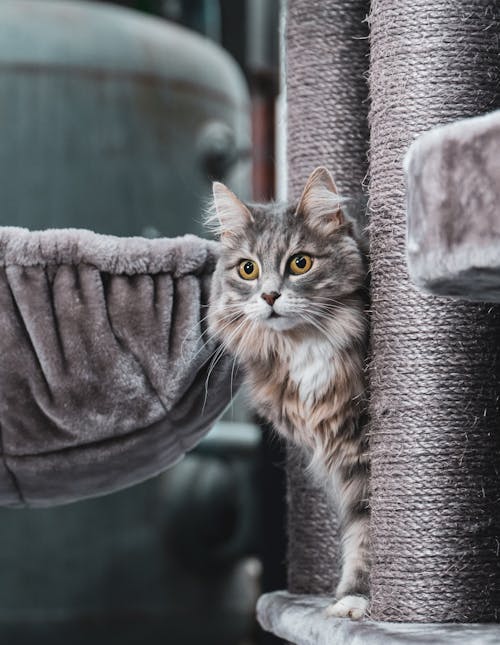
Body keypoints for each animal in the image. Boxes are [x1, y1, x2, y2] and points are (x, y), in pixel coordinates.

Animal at [205, 167, 370, 620]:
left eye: (300, 263)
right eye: (248, 269)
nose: (269, 295)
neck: (304, 346)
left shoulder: (362, 451)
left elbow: (367, 533)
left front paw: (357, 600)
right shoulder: (342, 460)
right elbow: (358, 528)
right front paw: (347, 598)